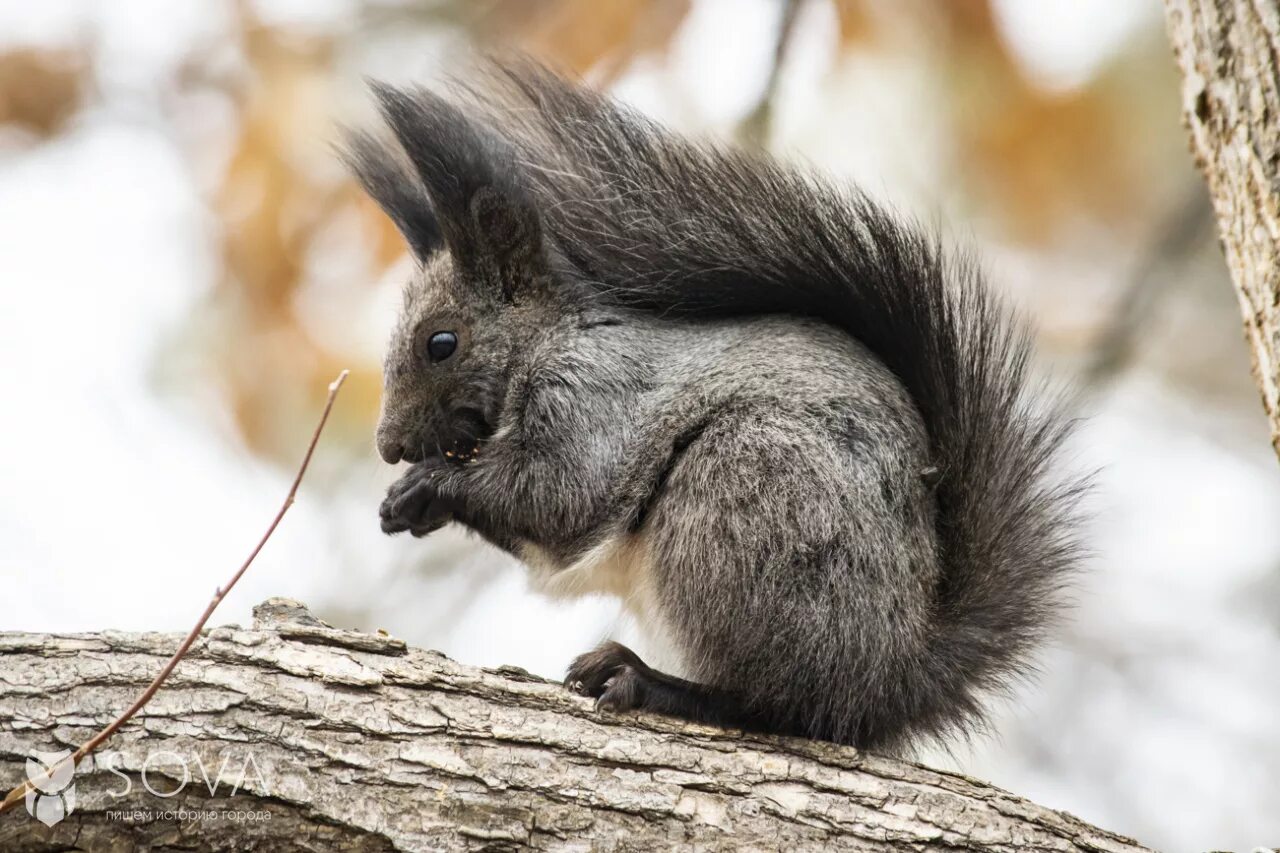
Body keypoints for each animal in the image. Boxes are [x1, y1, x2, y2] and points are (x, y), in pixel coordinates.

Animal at [345, 61, 1085, 753]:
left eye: (442, 342)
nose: (388, 444)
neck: (549, 337)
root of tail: (891, 679)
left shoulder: (596, 394)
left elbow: (560, 494)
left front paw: (433, 485)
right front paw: (402, 502)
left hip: (742, 498)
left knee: (783, 706)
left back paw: (653, 682)